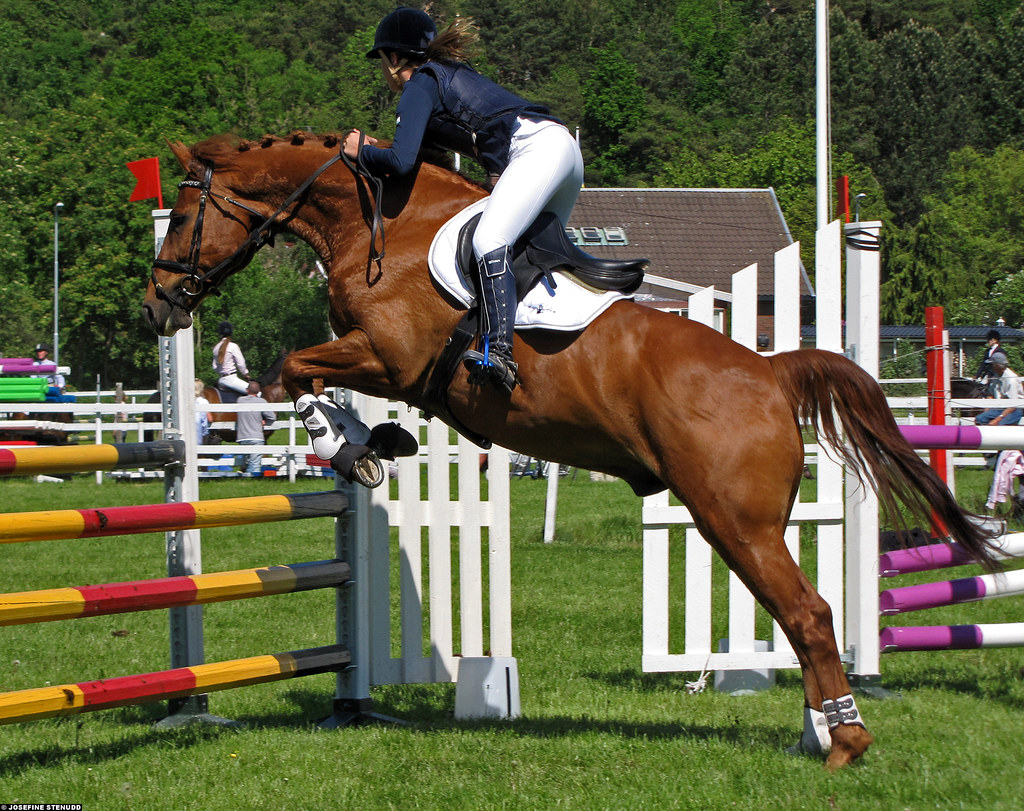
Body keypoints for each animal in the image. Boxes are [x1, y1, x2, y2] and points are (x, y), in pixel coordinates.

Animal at [142, 131, 1001, 770]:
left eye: (181, 215)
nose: (156, 308)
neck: (382, 223)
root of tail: (770, 368)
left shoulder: (387, 356)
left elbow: (294, 368)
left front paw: (351, 447)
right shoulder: (380, 361)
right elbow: (304, 372)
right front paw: (380, 439)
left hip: (736, 522)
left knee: (809, 612)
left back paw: (844, 738)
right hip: (741, 524)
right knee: (795, 617)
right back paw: (822, 729)